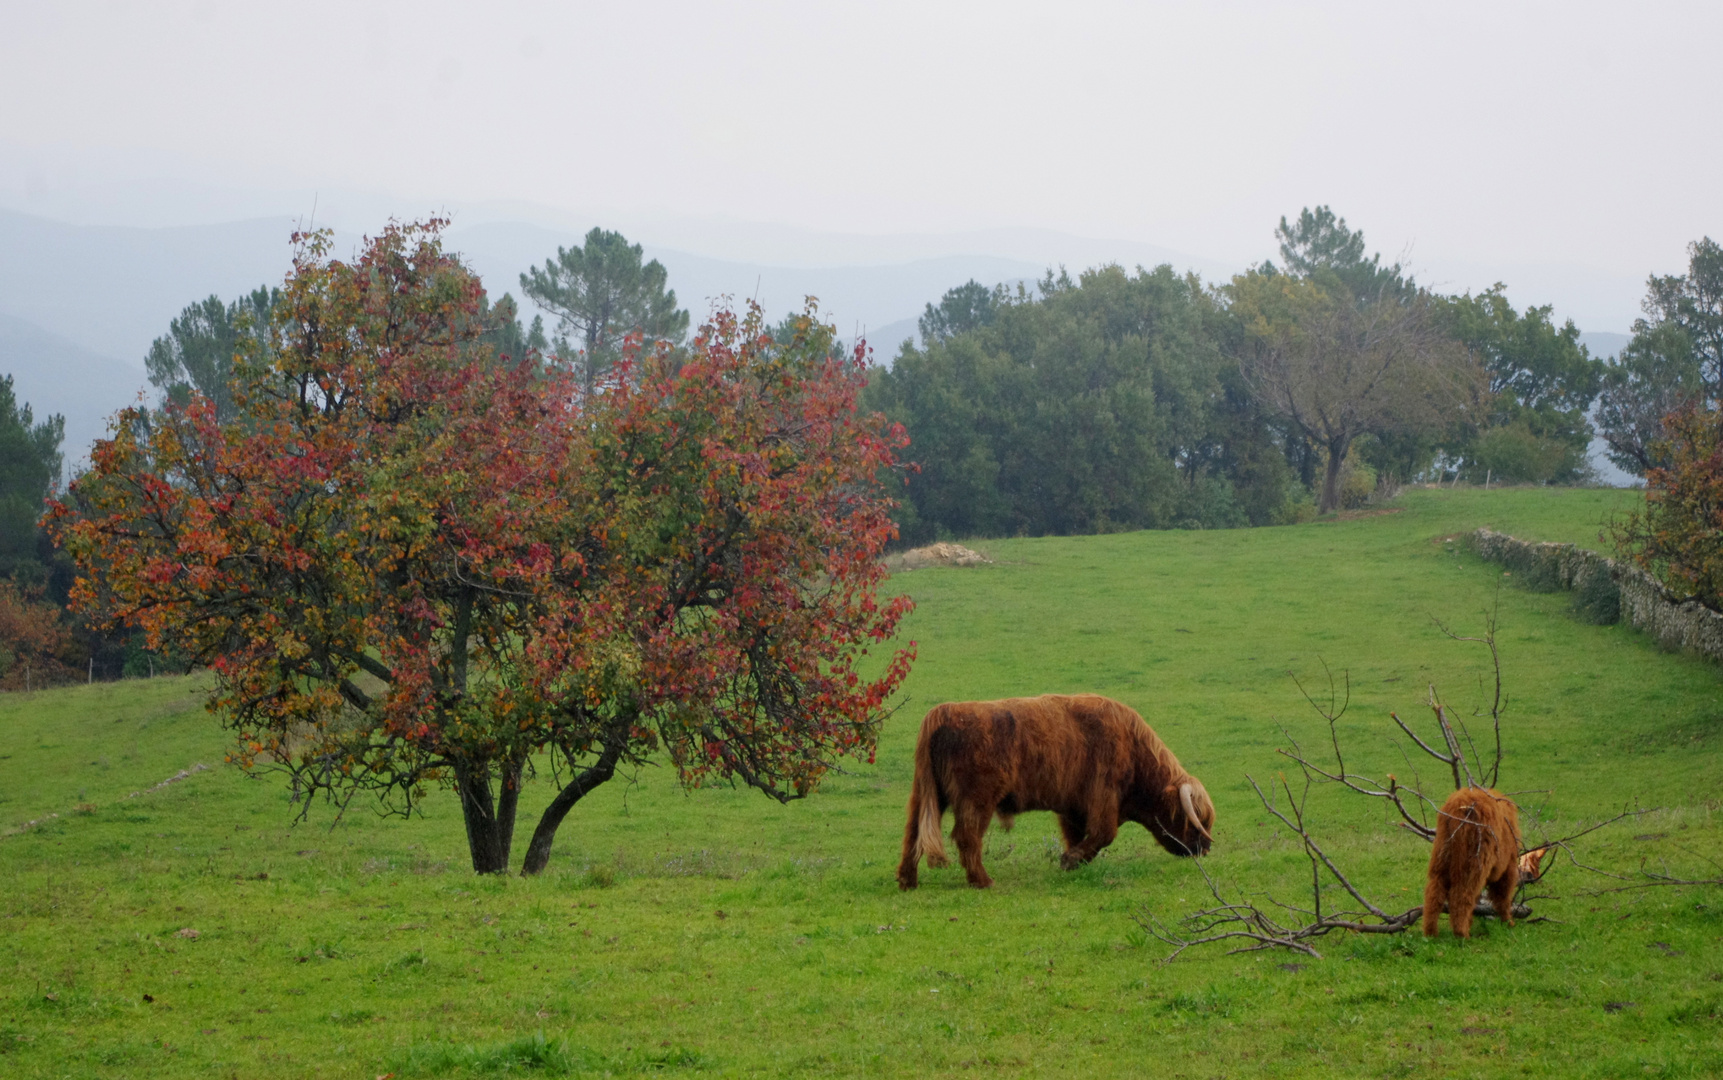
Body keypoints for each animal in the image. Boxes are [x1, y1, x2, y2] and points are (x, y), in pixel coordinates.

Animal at [895, 695, 1219, 888]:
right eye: (1196, 819)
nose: (1204, 848)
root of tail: (944, 711)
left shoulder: (1074, 807)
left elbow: (1080, 835)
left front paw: (1075, 862)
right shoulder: (1104, 795)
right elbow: (1105, 833)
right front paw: (1070, 860)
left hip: (925, 795)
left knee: (912, 834)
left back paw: (907, 880)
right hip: (976, 800)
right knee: (966, 836)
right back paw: (983, 881)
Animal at [1426, 785, 1523, 937]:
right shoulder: (1508, 866)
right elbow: (1502, 896)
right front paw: (1508, 922)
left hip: (1442, 855)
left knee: (1434, 892)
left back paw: (1431, 933)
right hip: (1475, 861)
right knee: (1462, 895)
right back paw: (1462, 934)